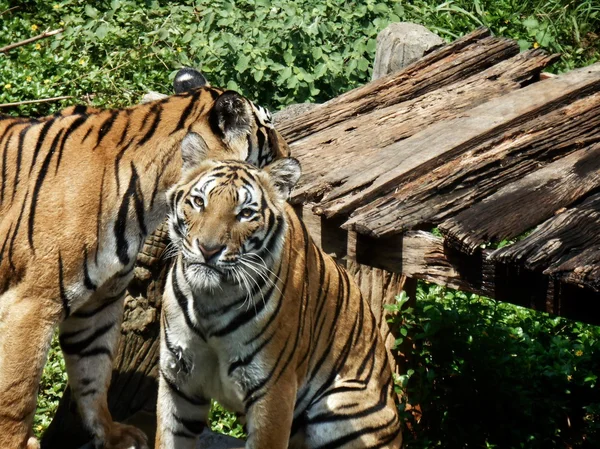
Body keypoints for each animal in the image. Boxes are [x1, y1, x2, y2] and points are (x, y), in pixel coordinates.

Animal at [0, 67, 290, 448]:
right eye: (267, 128)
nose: (291, 153)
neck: (148, 203)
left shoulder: (98, 302)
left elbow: (94, 374)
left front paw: (113, 434)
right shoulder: (31, 303)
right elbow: (16, 393)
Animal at [159, 156, 404, 446]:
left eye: (245, 214)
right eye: (199, 202)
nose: (208, 250)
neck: (211, 299)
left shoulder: (274, 390)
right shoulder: (178, 381)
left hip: (340, 407)